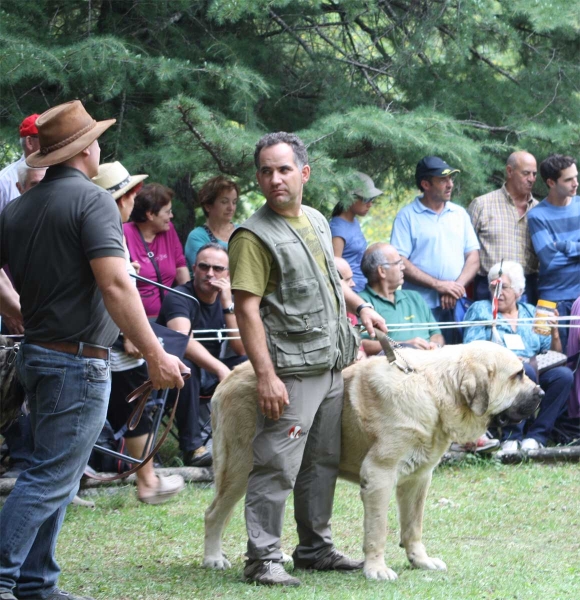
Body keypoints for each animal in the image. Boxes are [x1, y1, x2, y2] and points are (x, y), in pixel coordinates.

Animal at [204, 342, 544, 580]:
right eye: (518, 375)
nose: (541, 393)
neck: (435, 392)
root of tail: (228, 377)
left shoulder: (418, 478)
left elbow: (413, 526)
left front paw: (420, 560)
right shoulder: (380, 474)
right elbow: (378, 529)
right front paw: (377, 569)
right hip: (241, 465)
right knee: (215, 513)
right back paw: (214, 558)